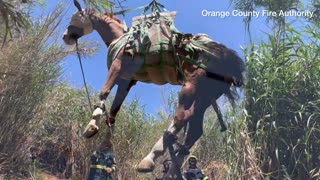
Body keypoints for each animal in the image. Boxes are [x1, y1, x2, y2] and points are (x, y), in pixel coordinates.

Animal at [62, 2, 244, 179]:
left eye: (76, 16)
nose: (65, 36)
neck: (121, 38)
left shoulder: (117, 67)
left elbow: (104, 92)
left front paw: (91, 126)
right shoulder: (126, 81)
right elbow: (113, 112)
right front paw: (105, 142)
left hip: (192, 87)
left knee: (182, 117)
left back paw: (150, 158)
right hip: (206, 95)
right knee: (194, 131)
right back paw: (170, 171)